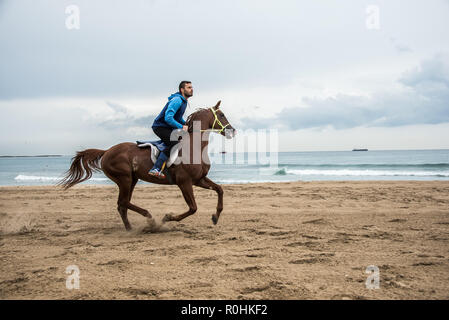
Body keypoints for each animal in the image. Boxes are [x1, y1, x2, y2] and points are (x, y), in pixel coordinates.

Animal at [57, 100, 236, 230]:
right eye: (221, 115)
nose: (232, 131)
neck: (193, 146)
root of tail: (107, 150)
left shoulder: (198, 179)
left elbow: (220, 190)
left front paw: (215, 216)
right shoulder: (184, 182)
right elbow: (193, 208)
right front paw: (167, 217)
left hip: (132, 180)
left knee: (122, 205)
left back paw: (130, 228)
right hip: (124, 179)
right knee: (123, 202)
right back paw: (149, 218)